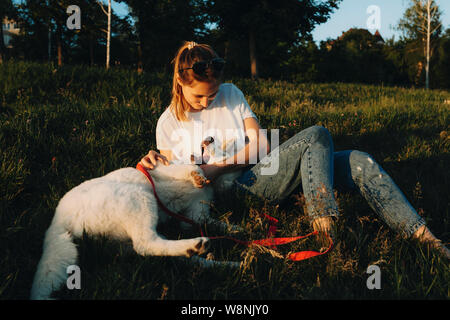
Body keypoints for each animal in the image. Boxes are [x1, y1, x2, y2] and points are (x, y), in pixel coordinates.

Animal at [30, 138, 243, 300]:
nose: (209, 139)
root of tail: (57, 221)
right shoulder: (166, 170)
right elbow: (190, 168)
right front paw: (196, 174)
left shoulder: (195, 215)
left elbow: (215, 223)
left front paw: (236, 229)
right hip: (140, 198)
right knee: (145, 244)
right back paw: (197, 246)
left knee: (162, 252)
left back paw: (226, 264)